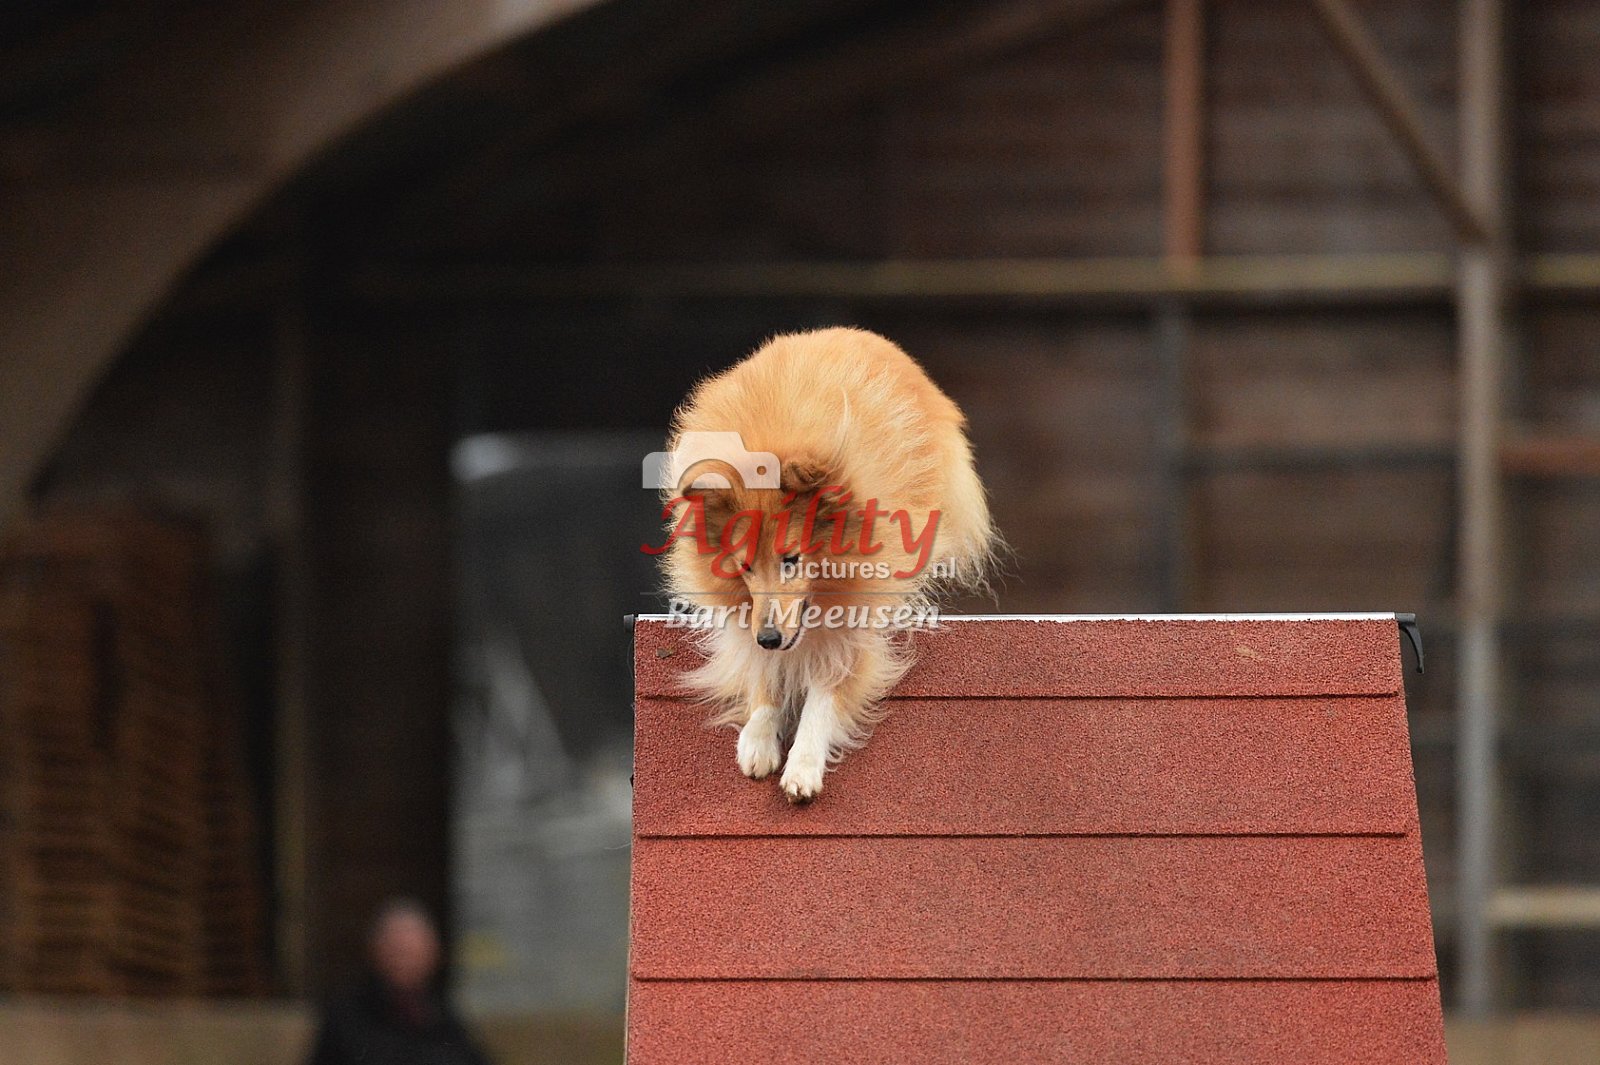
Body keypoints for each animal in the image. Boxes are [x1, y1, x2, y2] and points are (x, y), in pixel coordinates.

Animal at [655, 327, 996, 802]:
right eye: (744, 567)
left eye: (792, 560)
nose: (770, 638)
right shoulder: (751, 624)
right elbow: (761, 675)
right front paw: (758, 739)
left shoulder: (857, 623)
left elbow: (824, 696)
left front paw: (803, 765)